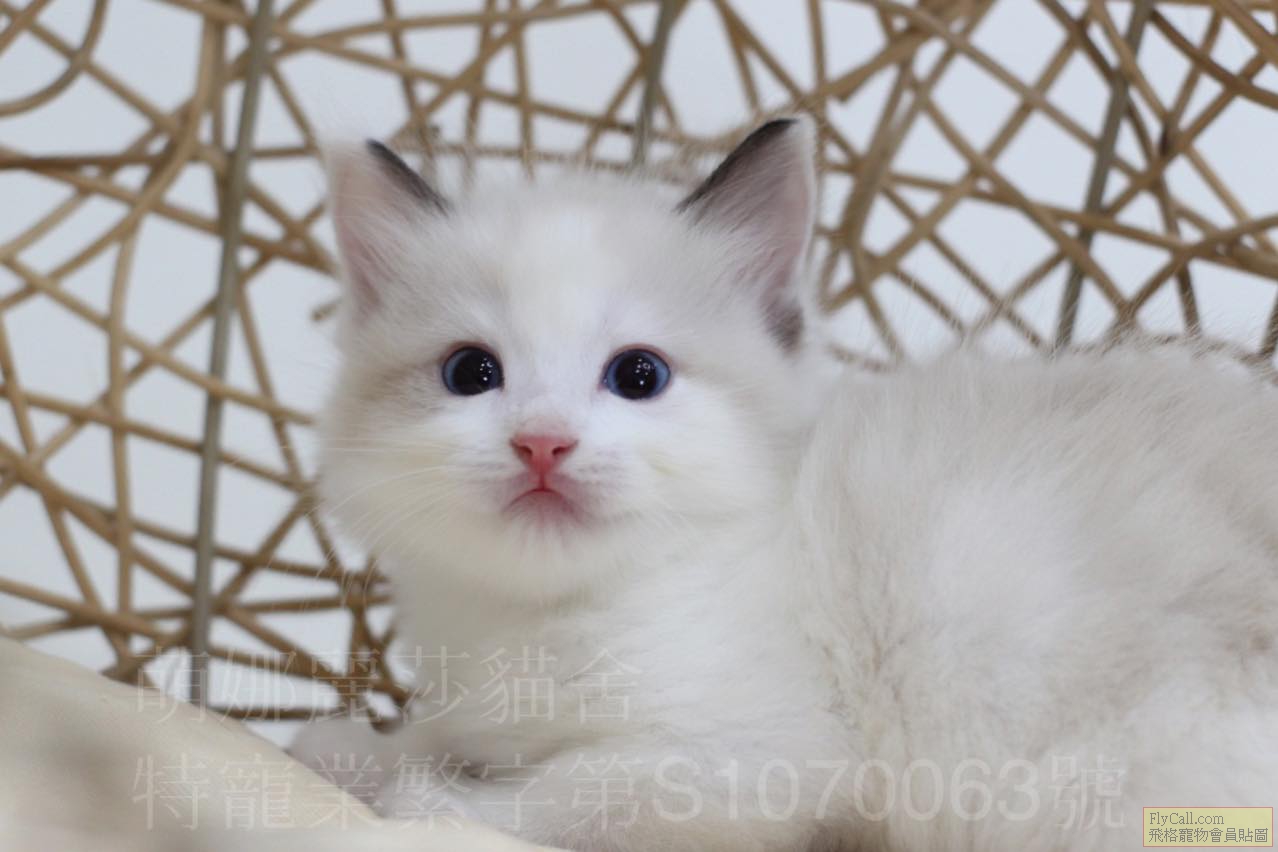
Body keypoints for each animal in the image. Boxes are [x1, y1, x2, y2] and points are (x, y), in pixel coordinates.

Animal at [292, 117, 1278, 851]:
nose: (543, 443)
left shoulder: (759, 754)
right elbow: (444, 731)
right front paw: (349, 748)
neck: (540, 620)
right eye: (471, 373)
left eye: (639, 376)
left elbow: (571, 788)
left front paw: (427, 798)